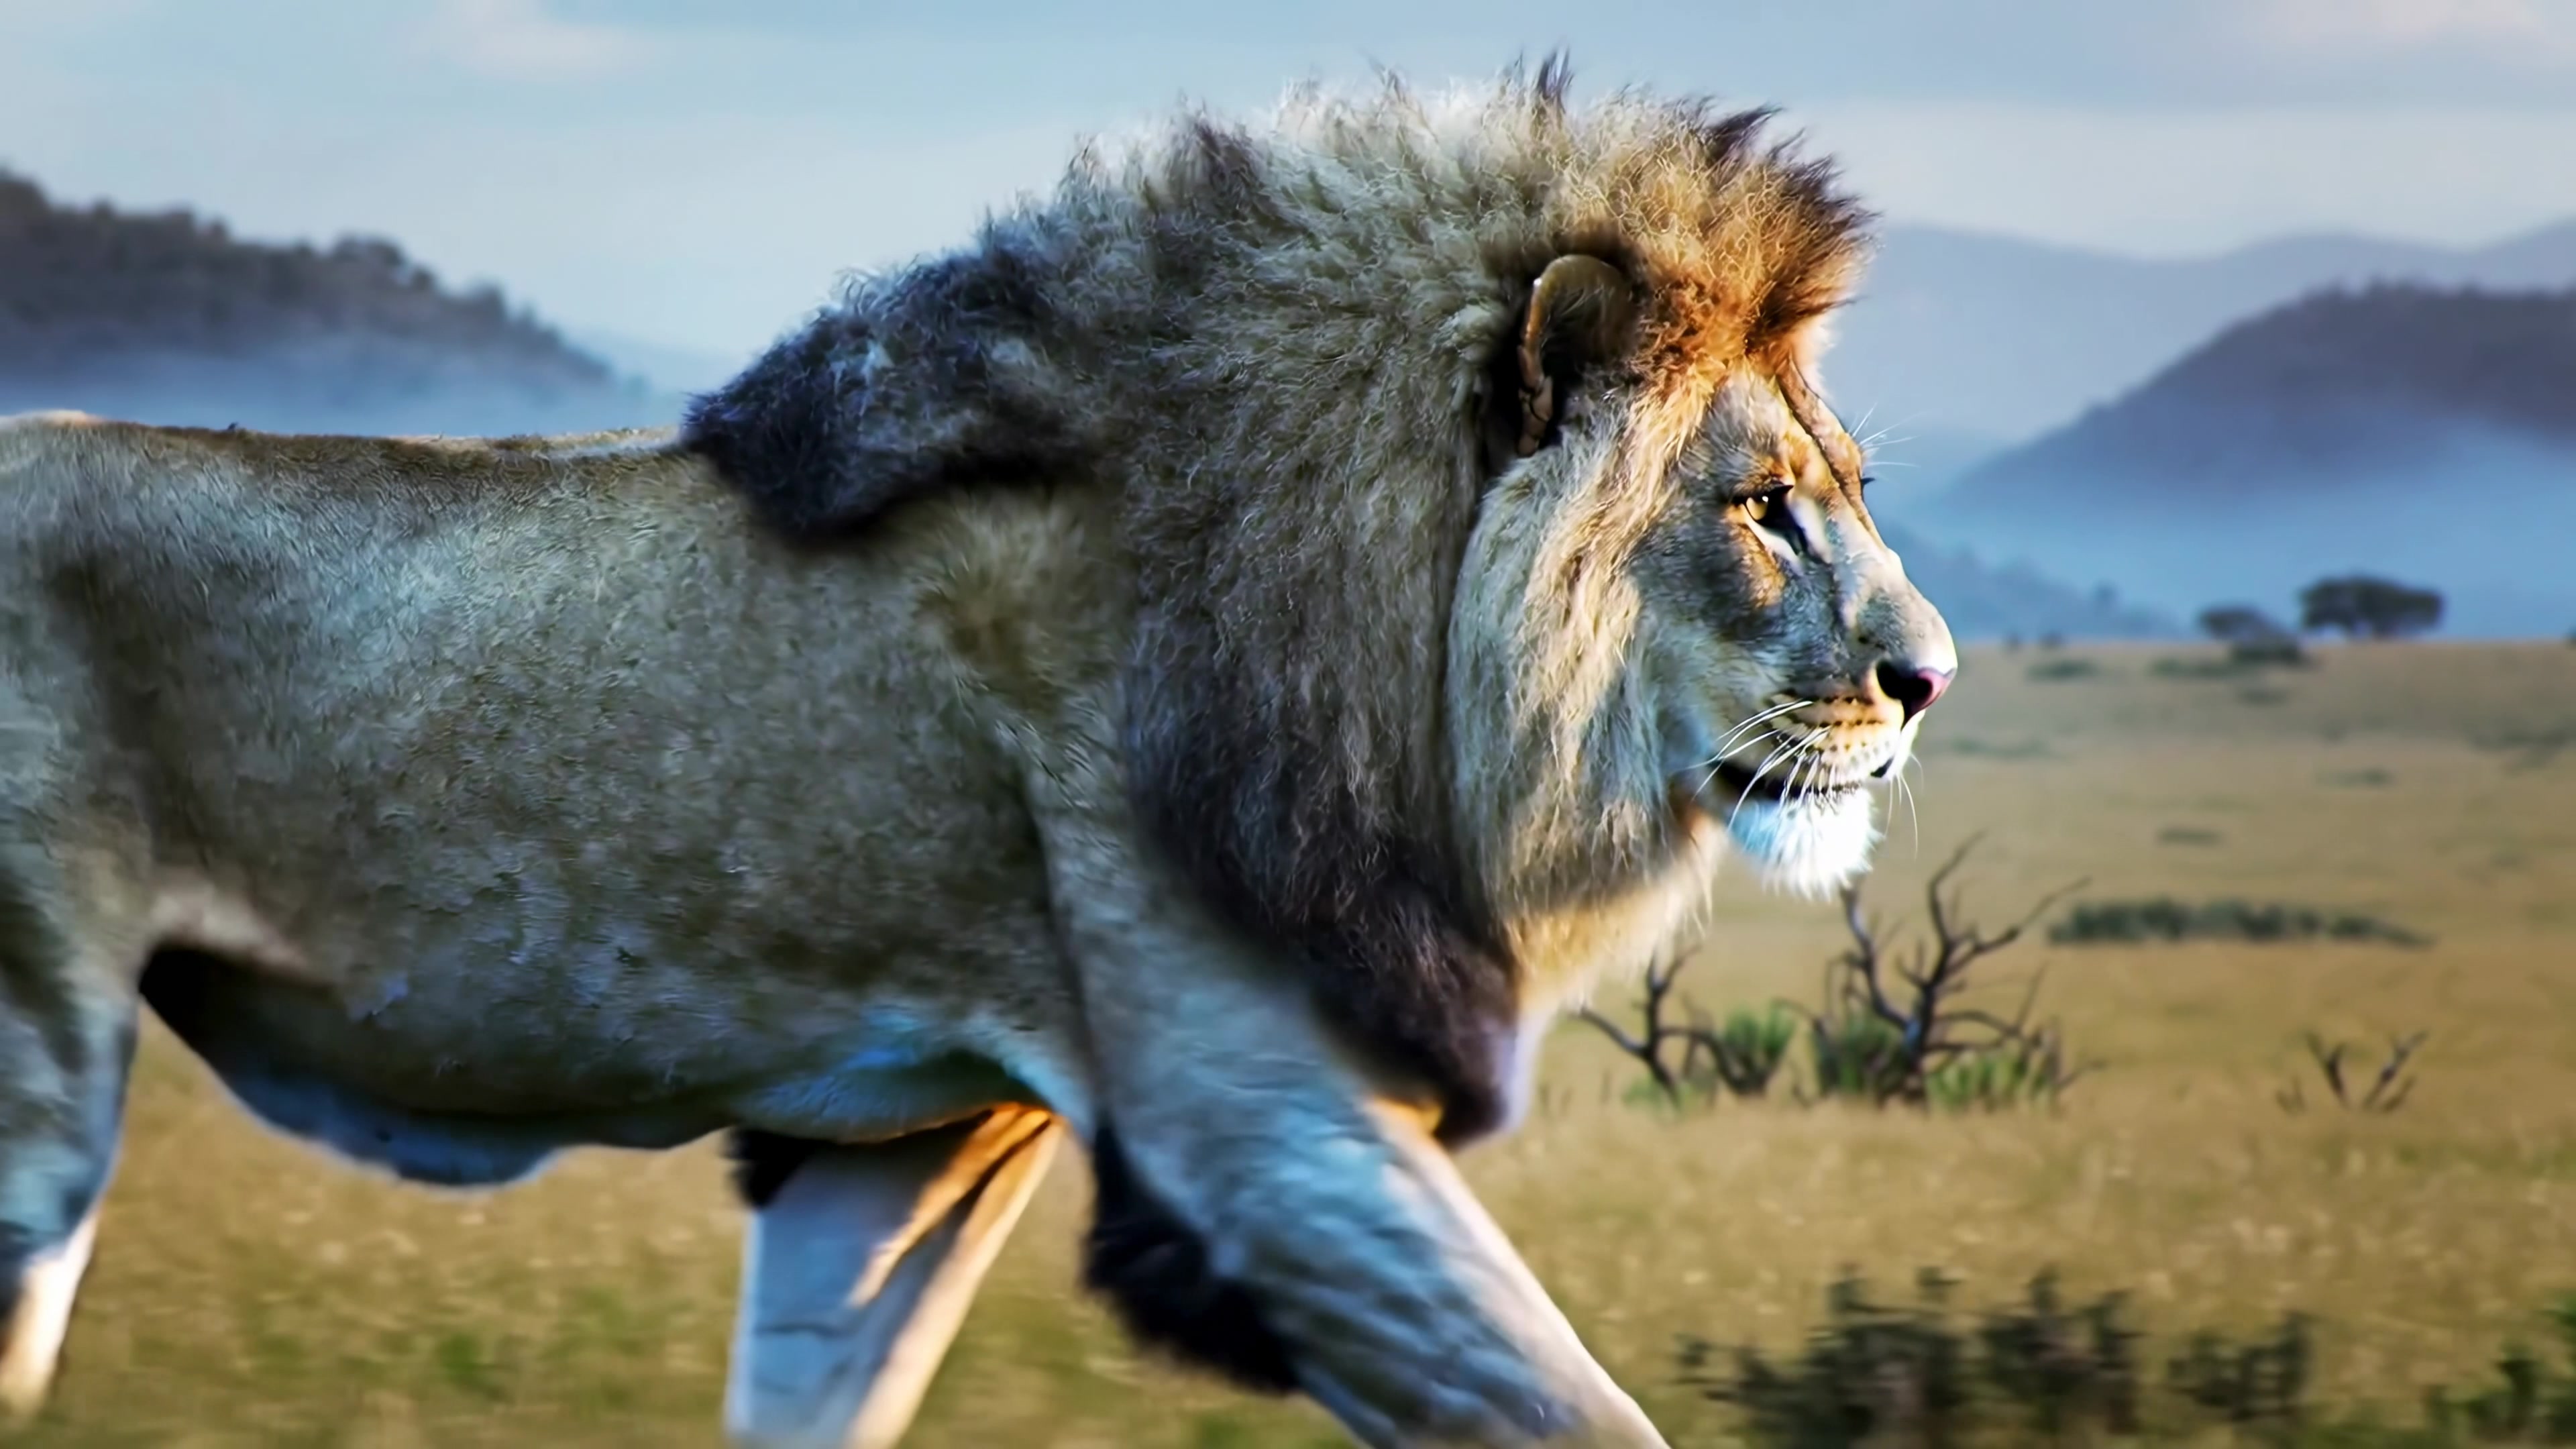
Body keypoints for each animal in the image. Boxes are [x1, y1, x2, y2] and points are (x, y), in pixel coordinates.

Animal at [0, 62, 1953, 1448]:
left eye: (1847, 489)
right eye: (1762, 508)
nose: (1927, 677)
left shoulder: (912, 1147)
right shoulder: (1264, 1139)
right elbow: (1566, 1412)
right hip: (36, 1075)